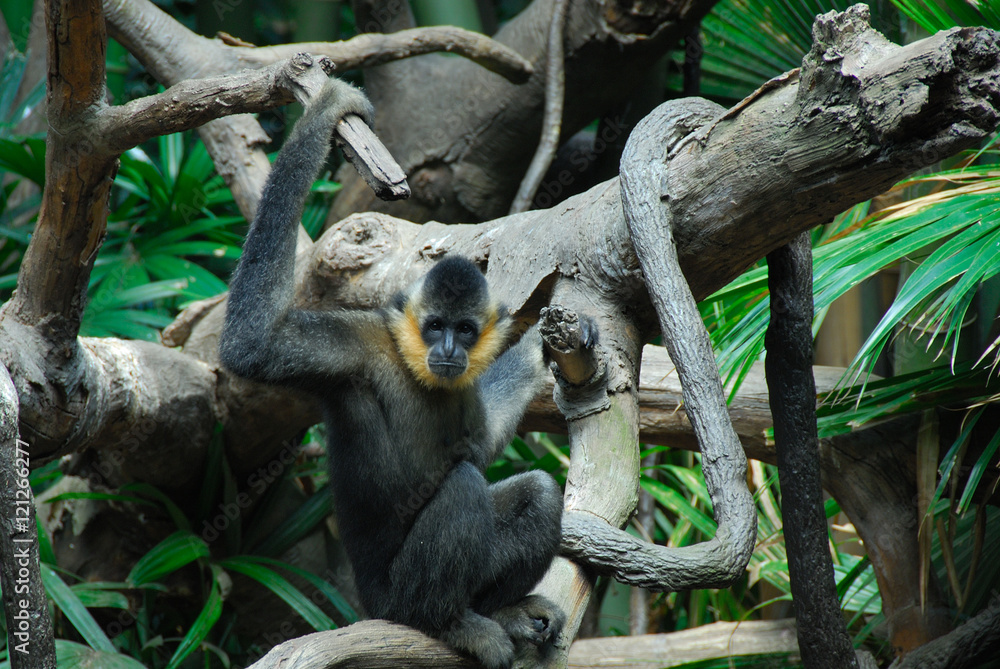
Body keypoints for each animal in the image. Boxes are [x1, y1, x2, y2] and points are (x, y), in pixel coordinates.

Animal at [219, 76, 577, 669]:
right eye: (434, 327)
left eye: (464, 329)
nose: (449, 348)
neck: (414, 369)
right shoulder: (357, 351)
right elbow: (253, 345)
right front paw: (325, 110)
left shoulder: (461, 387)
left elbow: (482, 443)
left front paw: (541, 344)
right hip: (394, 598)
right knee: (464, 488)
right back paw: (450, 623)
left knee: (537, 491)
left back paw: (498, 612)